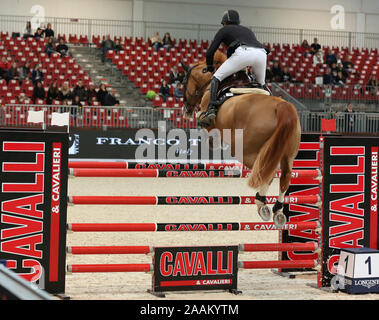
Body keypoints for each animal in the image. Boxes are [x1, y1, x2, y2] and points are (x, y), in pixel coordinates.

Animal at [181, 50, 302, 228]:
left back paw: (261, 204)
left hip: (246, 152)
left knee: (266, 173)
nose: (186, 110)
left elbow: (204, 122)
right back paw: (278, 211)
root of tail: (282, 106)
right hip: (287, 154)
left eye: (184, 81)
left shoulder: (206, 116)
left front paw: (210, 138)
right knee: (284, 176)